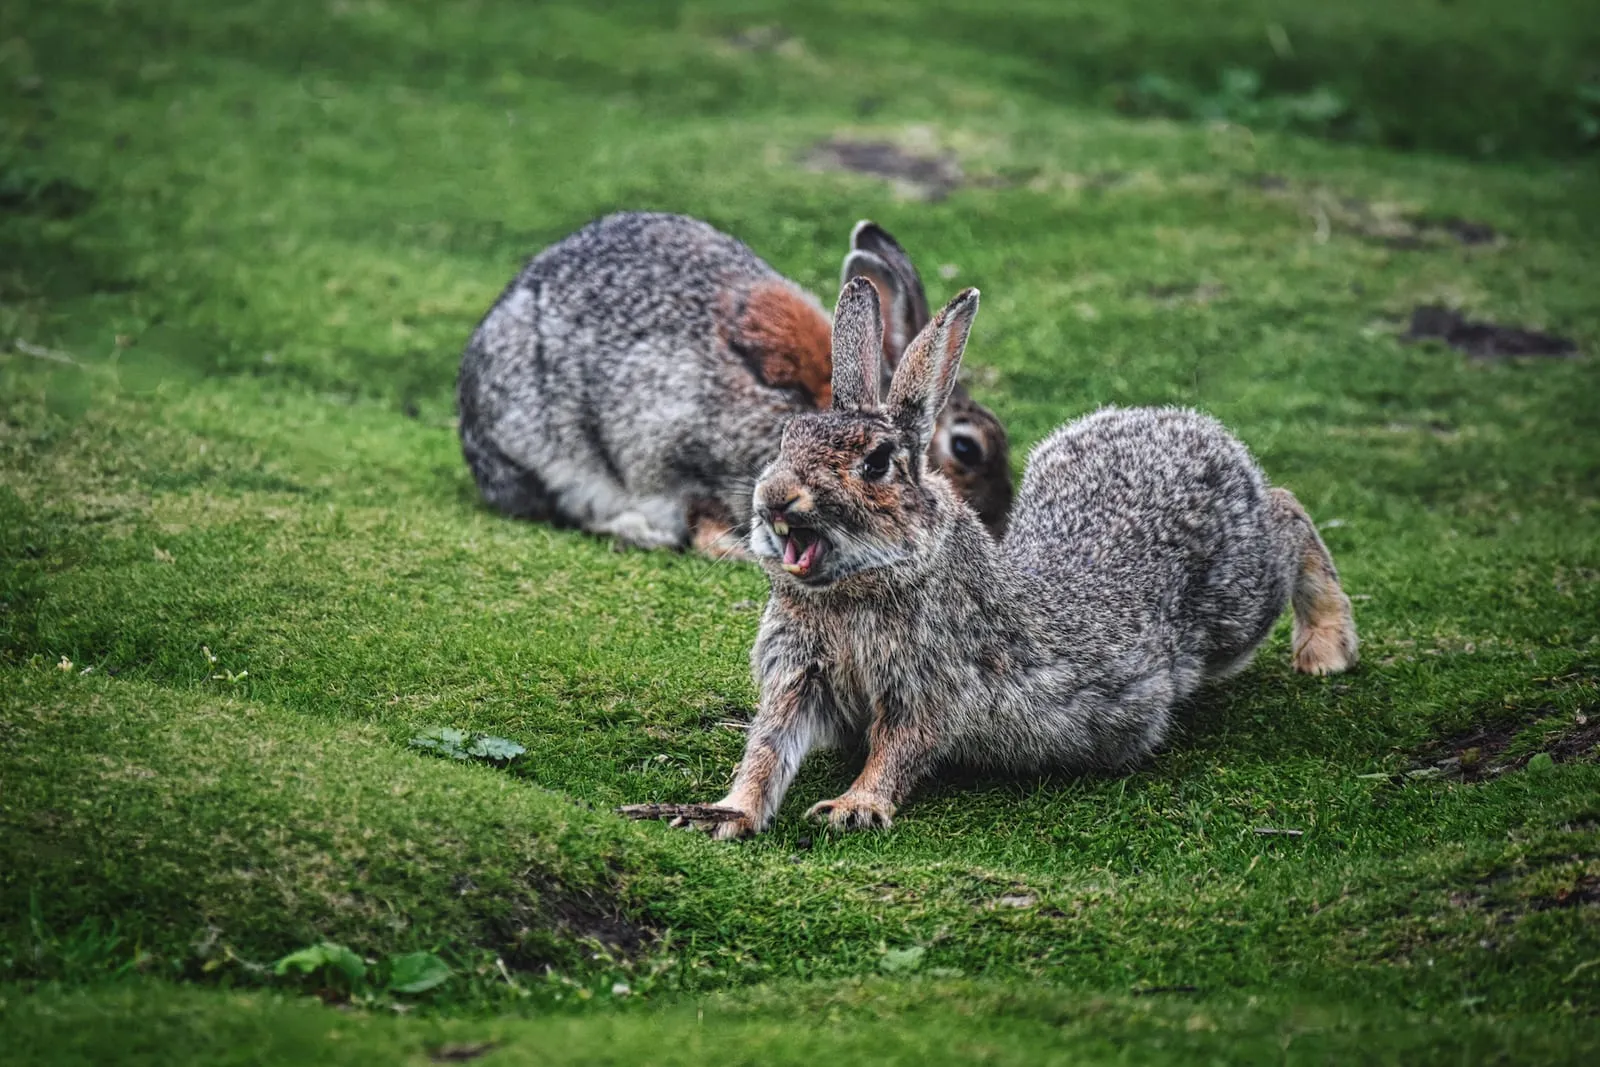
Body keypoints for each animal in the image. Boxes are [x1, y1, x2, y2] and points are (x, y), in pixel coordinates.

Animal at [620, 276, 1358, 839]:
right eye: (787, 438)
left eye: (876, 463)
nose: (775, 498)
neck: (863, 585)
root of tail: (1201, 431)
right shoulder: (800, 676)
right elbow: (768, 750)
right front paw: (723, 813)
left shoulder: (929, 686)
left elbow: (899, 750)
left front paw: (852, 807)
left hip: (1237, 601)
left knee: (1287, 515)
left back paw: (1326, 647)